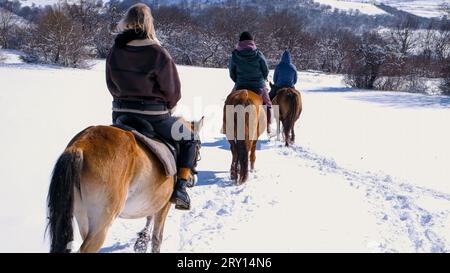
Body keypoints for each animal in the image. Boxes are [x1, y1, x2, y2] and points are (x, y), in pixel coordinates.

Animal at [46, 117, 204, 253]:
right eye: (198, 147)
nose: (193, 179)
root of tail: (81, 145)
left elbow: (149, 218)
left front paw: (141, 241)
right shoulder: (164, 206)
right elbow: (157, 238)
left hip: (83, 217)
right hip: (102, 220)